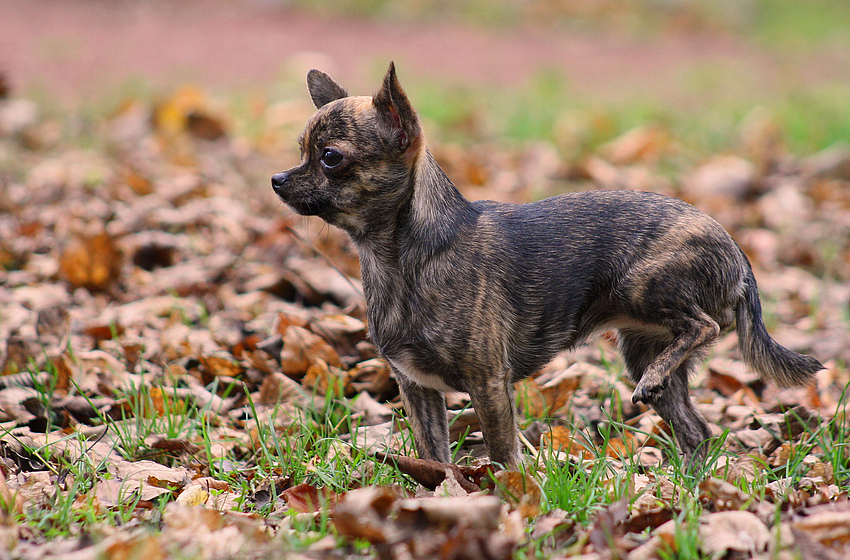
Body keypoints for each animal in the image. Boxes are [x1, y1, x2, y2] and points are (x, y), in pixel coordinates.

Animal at [274, 63, 820, 470]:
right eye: (300, 151)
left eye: (329, 157)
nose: (278, 179)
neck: (398, 259)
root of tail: (736, 250)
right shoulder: (418, 390)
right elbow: (435, 458)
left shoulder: (488, 384)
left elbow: (502, 455)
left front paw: (507, 499)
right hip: (642, 345)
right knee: (697, 430)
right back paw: (690, 486)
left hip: (644, 284)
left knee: (703, 325)